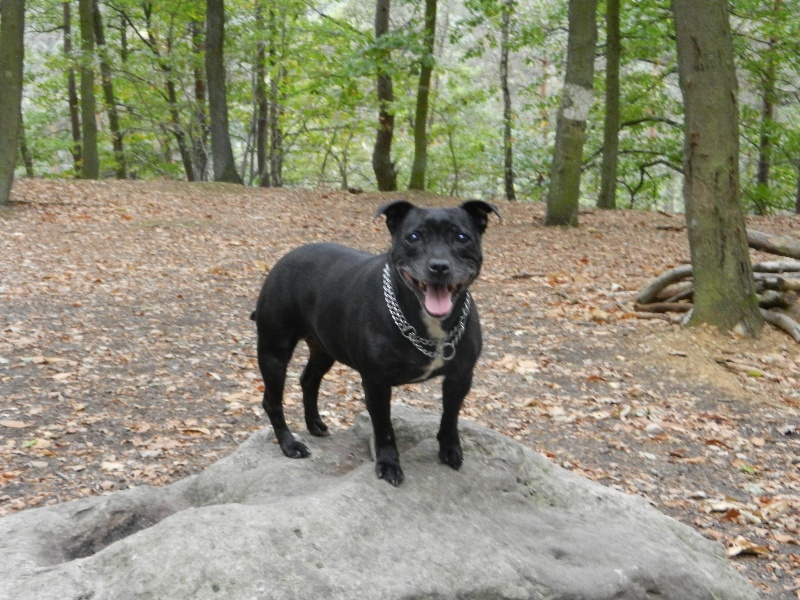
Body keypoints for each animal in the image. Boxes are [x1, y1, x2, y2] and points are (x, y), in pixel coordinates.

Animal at [253, 199, 496, 486]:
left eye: (462, 237)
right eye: (413, 237)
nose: (439, 266)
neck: (426, 324)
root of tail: (288, 256)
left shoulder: (461, 376)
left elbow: (450, 416)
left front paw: (449, 449)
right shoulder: (376, 383)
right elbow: (384, 428)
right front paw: (389, 464)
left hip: (324, 349)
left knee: (309, 381)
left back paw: (315, 425)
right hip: (274, 350)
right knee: (272, 400)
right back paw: (290, 445)